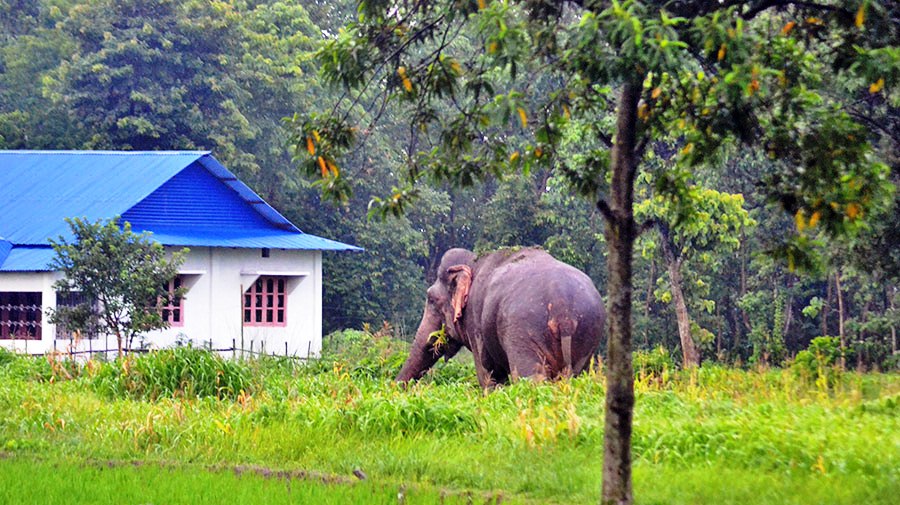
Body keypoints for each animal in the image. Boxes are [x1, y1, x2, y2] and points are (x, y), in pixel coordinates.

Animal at [400, 247, 604, 386]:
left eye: (431, 299)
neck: (474, 261)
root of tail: (563, 310)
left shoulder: (475, 321)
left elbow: (488, 374)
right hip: (587, 335)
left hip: (522, 331)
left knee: (529, 376)